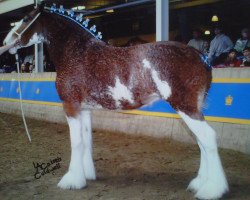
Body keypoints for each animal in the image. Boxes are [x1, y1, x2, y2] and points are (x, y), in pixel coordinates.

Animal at [2, 5, 229, 200]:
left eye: (26, 19)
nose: (6, 42)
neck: (77, 52)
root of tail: (201, 56)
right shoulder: (85, 109)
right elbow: (86, 141)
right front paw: (87, 175)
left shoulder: (71, 106)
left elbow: (76, 142)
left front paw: (72, 181)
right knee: (201, 141)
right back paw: (199, 183)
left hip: (185, 107)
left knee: (208, 138)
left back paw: (211, 190)